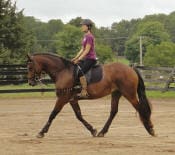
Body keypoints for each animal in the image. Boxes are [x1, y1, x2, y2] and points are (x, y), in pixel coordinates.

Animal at [26, 53, 155, 138]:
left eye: (30, 67)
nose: (30, 82)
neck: (62, 71)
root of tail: (131, 69)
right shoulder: (72, 99)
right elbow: (79, 115)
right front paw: (92, 130)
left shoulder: (63, 98)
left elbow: (53, 114)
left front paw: (42, 132)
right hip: (116, 93)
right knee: (113, 111)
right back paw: (102, 132)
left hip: (129, 94)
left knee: (140, 108)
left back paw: (150, 128)